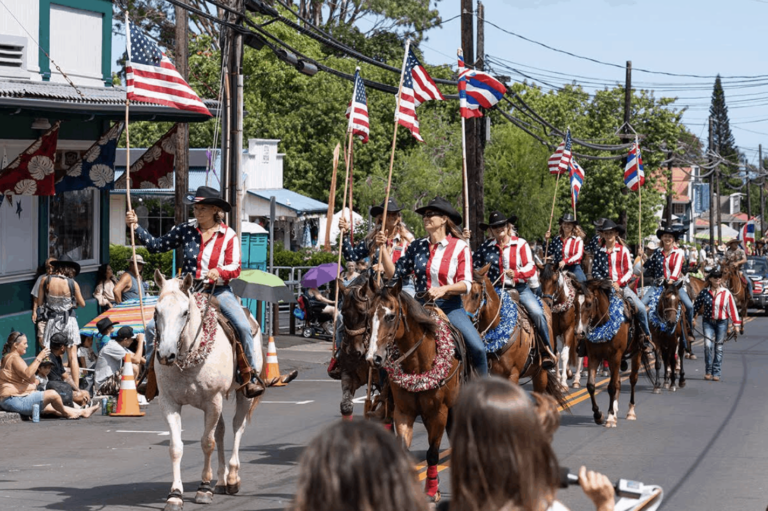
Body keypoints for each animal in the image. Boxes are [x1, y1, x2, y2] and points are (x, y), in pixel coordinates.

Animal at [153, 270, 264, 510]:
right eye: (156, 311)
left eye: (185, 312)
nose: (166, 354)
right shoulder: (169, 403)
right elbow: (176, 447)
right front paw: (175, 494)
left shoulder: (212, 401)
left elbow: (207, 442)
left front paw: (203, 489)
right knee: (221, 430)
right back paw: (221, 480)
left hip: (243, 394)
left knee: (237, 427)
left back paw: (232, 478)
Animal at [366, 278, 462, 502]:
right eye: (369, 314)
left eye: (391, 316)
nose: (373, 358)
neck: (419, 365)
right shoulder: (404, 412)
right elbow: (403, 449)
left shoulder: (439, 413)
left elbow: (432, 453)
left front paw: (431, 490)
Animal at [572, 280, 644, 428]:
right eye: (574, 303)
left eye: (589, 303)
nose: (579, 332)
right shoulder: (594, 357)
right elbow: (591, 386)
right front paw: (598, 415)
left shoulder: (615, 356)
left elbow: (611, 387)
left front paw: (610, 417)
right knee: (618, 382)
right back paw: (615, 412)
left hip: (636, 353)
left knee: (632, 379)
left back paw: (630, 412)